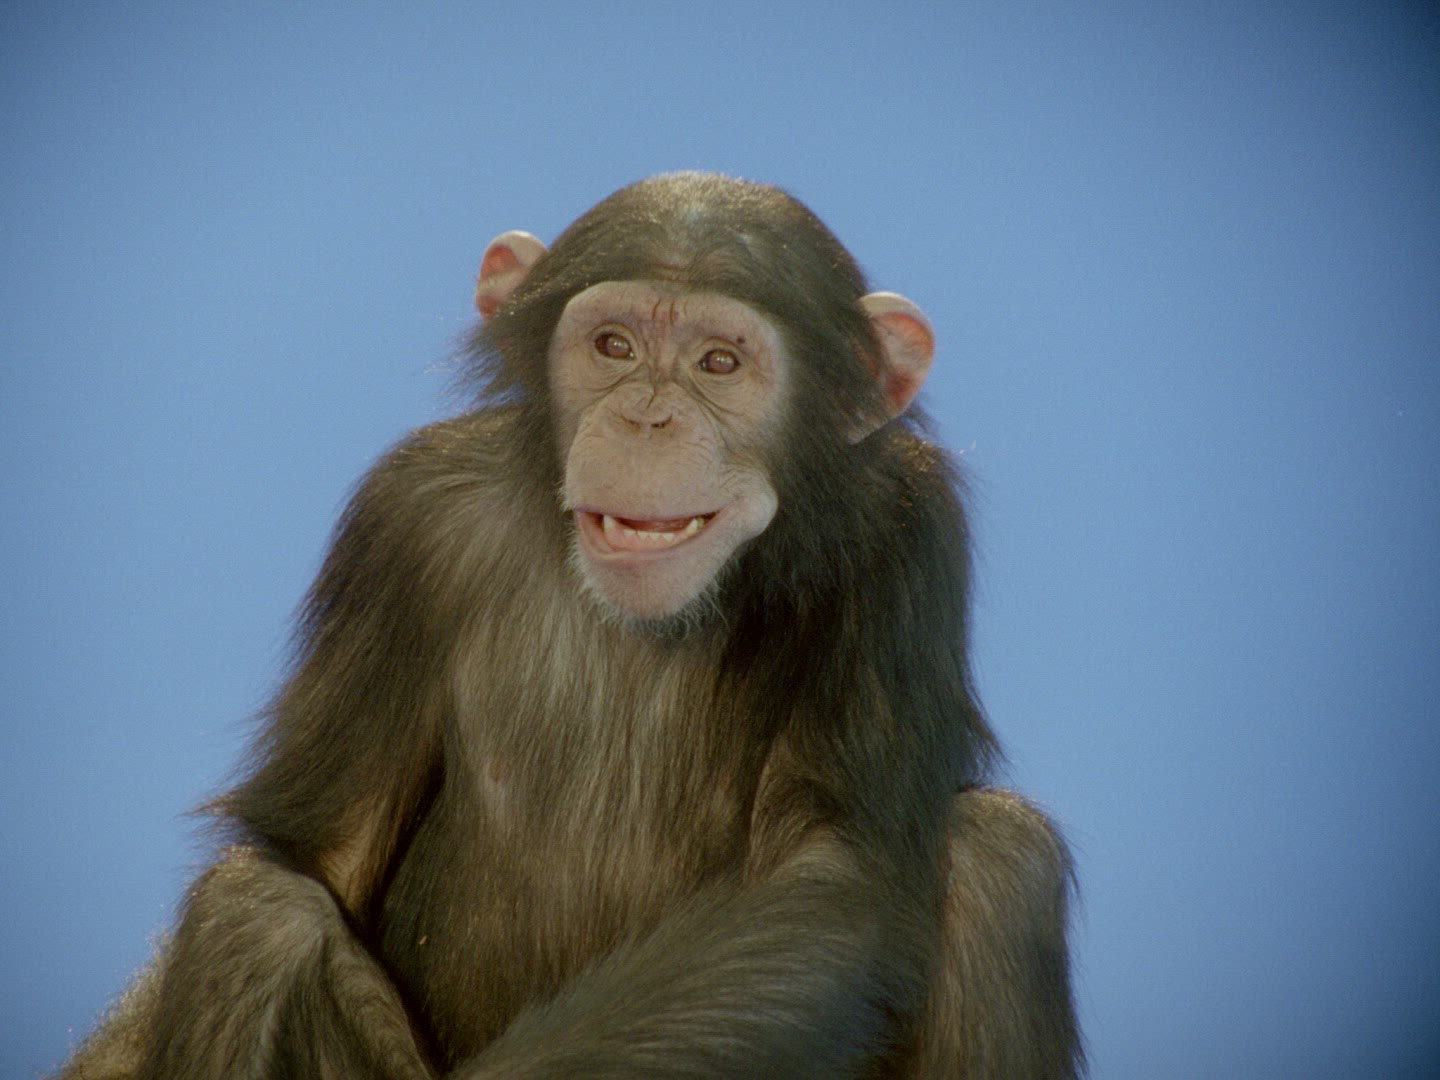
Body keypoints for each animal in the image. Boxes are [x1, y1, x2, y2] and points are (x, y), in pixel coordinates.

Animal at [56, 172, 1081, 1078]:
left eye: (720, 363)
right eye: (613, 345)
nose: (646, 417)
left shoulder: (905, 534)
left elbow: (835, 879)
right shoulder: (406, 522)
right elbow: (317, 855)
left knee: (999, 860)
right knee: (254, 917)